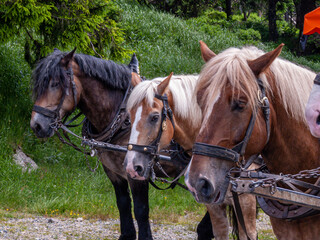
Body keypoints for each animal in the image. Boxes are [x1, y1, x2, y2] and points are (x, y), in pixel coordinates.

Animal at [28, 48, 211, 238]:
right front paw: (127, 234)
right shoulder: (113, 171)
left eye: (55, 83)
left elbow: (141, 210)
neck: (121, 119)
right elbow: (123, 203)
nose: (36, 125)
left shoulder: (137, 172)